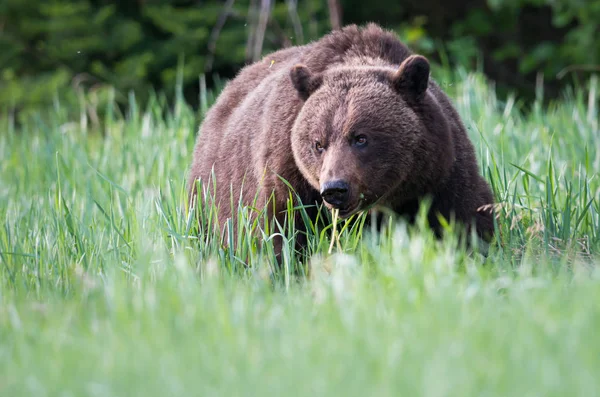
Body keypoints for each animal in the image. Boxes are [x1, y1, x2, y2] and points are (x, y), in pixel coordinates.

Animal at [189, 22, 496, 251]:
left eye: (361, 138)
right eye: (318, 144)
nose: (335, 189)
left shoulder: (439, 175)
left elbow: (466, 221)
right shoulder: (289, 180)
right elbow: (277, 235)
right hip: (207, 194)